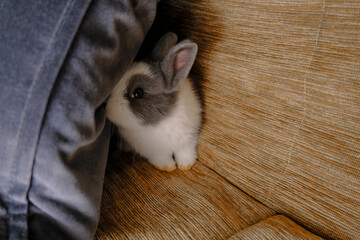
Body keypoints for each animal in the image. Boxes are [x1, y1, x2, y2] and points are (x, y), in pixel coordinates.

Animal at [106, 32, 202, 172]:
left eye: (138, 93)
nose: (106, 107)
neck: (160, 122)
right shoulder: (152, 151)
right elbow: (161, 158)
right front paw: (169, 167)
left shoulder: (188, 138)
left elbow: (185, 151)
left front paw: (185, 165)